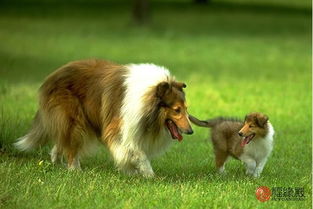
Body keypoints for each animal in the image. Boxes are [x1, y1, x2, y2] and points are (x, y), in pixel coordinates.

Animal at [14, 59, 193, 178]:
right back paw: (75, 170)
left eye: (186, 109)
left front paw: (134, 172)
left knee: (62, 142)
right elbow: (136, 152)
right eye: (176, 110)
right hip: (74, 120)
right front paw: (148, 175)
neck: (146, 101)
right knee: (71, 146)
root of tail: (50, 78)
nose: (191, 131)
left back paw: (57, 163)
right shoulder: (119, 128)